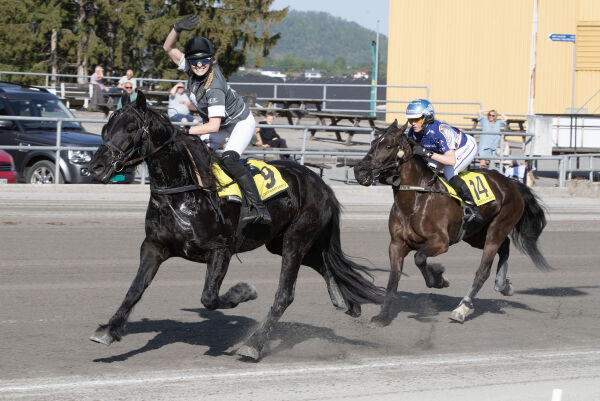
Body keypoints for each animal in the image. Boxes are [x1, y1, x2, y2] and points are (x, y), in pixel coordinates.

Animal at [86, 93, 382, 360]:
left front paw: (244, 292)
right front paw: (108, 330)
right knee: (325, 264)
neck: (185, 192)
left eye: (131, 128)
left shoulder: (221, 250)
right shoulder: (154, 246)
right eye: (105, 129)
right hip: (280, 243)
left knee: (285, 294)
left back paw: (254, 345)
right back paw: (344, 300)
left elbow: (209, 298)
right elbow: (135, 289)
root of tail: (321, 184)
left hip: (295, 241)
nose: (96, 168)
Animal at [354, 120, 552, 324]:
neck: (417, 199)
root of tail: (512, 184)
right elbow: (393, 278)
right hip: (475, 235)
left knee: (483, 270)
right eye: (372, 143)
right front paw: (382, 316)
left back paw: (462, 308)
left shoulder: (441, 241)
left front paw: (439, 279)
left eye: (388, 146)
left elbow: (419, 258)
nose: (359, 170)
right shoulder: (397, 244)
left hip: (497, 228)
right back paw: (503, 285)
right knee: (504, 246)